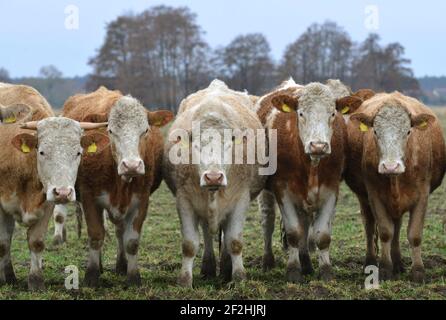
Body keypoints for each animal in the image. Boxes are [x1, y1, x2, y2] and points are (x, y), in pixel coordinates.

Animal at [0, 82, 108, 290]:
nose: (64, 192)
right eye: (42, 152)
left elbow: (36, 241)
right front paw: (6, 279)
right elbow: (3, 242)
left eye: (78, 152)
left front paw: (35, 281)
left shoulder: (47, 202)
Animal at [61, 86, 173, 286]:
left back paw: (121, 265)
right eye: (111, 131)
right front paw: (92, 275)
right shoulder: (90, 199)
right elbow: (96, 235)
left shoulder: (141, 199)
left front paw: (133, 277)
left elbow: (132, 241)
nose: (131, 165)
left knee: (120, 231)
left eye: (145, 130)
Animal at [164, 80, 268, 288]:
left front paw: (239, 278)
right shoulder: (184, 200)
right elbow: (189, 245)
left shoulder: (241, 199)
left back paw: (226, 268)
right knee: (207, 233)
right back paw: (209, 268)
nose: (213, 177)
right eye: (196, 145)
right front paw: (185, 281)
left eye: (228, 144)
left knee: (226, 235)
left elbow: (234, 241)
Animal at [254, 78, 356, 282]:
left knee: (305, 222)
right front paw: (293, 271)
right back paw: (268, 261)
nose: (318, 146)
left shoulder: (331, 190)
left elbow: (322, 235)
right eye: (300, 113)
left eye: (333, 113)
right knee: (268, 220)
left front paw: (326, 272)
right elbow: (293, 233)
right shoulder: (283, 190)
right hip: (267, 194)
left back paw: (306, 263)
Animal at [344, 90, 444, 282]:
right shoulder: (374, 195)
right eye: (375, 131)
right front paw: (384, 268)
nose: (390, 166)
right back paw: (371, 262)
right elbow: (385, 232)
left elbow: (414, 234)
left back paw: (398, 263)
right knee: (370, 227)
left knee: (397, 227)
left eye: (408, 131)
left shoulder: (422, 196)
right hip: (364, 198)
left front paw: (418, 271)